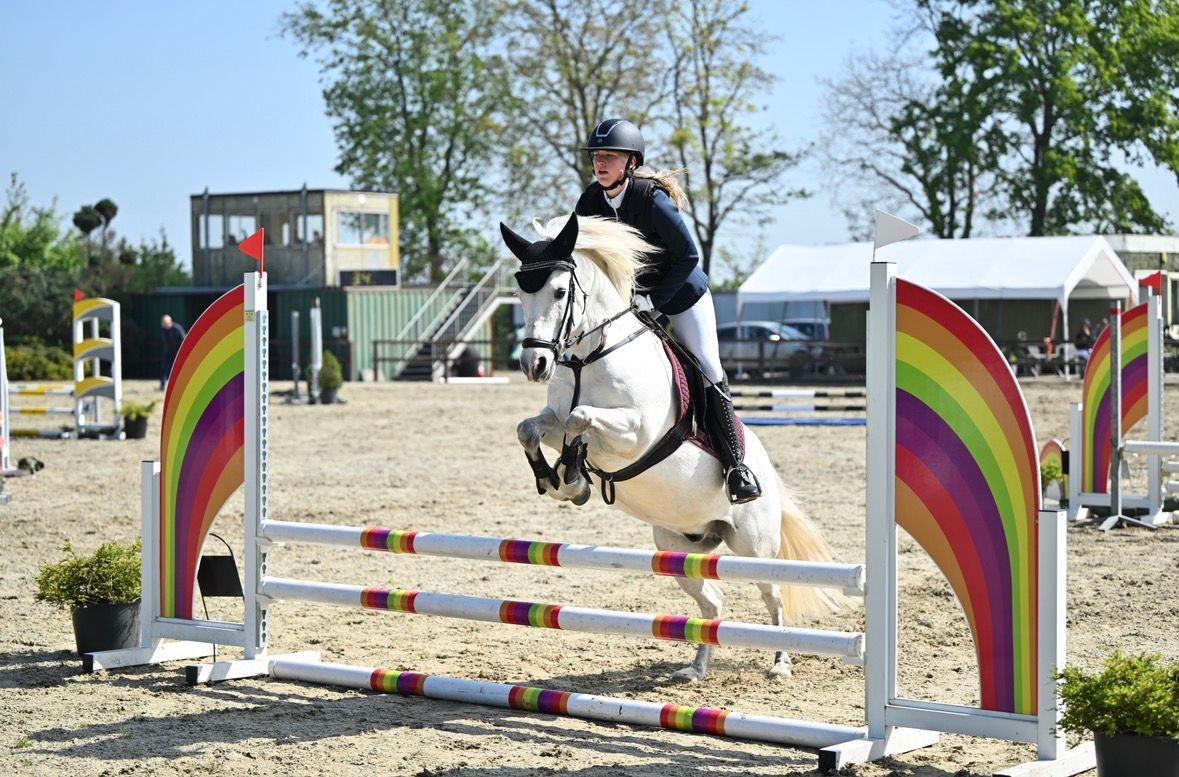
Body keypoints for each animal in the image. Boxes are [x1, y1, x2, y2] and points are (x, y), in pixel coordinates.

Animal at [501, 212, 842, 682]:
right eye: (520, 293)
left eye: (559, 291)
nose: (534, 365)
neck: (590, 356)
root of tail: (769, 478)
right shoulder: (551, 421)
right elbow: (532, 429)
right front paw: (556, 478)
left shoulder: (636, 430)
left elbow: (580, 419)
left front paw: (573, 478)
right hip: (677, 548)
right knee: (712, 602)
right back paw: (697, 668)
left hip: (753, 544)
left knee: (772, 594)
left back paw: (780, 663)